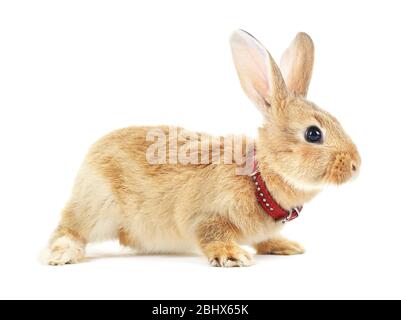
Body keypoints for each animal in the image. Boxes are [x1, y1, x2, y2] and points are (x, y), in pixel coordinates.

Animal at [43, 31, 360, 268]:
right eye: (313, 134)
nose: (357, 165)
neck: (259, 178)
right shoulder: (206, 216)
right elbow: (212, 235)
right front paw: (232, 255)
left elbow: (263, 240)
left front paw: (285, 246)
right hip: (97, 205)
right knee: (69, 229)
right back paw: (61, 254)